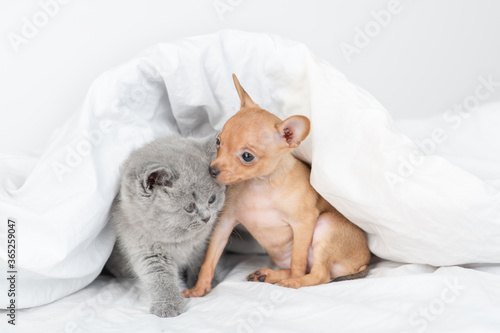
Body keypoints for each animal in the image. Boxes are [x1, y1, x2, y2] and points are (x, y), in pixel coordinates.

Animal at [106, 134, 226, 316]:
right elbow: (160, 278)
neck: (179, 241)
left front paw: (202, 284)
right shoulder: (146, 251)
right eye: (189, 207)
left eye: (212, 199)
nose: (207, 217)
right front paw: (168, 305)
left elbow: (201, 261)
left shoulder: (202, 244)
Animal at [182, 74, 370, 296]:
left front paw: (294, 281)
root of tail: (367, 260)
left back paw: (293, 282)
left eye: (247, 156)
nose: (212, 171)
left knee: (318, 275)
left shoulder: (303, 223)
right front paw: (198, 290)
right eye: (218, 142)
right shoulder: (224, 224)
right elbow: (209, 260)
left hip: (326, 226)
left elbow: (298, 260)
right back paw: (267, 275)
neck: (260, 185)